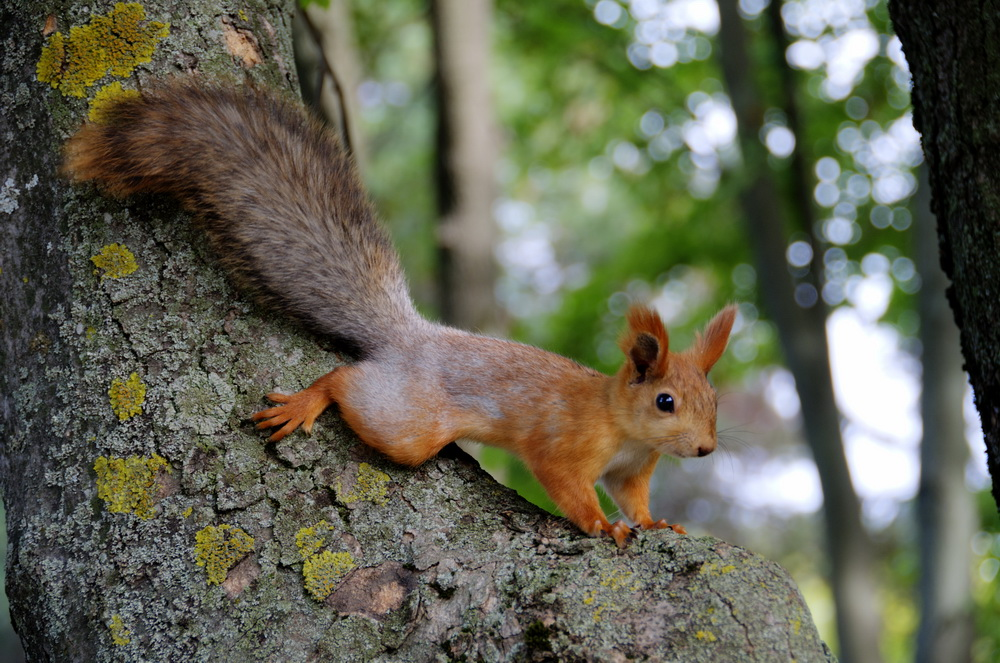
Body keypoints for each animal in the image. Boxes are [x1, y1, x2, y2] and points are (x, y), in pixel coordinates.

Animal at [62, 80, 736, 548]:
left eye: (713, 400)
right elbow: (570, 487)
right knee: (348, 383)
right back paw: (309, 400)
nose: (706, 450)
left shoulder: (632, 470)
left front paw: (658, 524)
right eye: (665, 401)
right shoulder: (565, 444)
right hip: (406, 421)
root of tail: (409, 338)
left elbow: (634, 499)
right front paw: (602, 526)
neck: (621, 425)